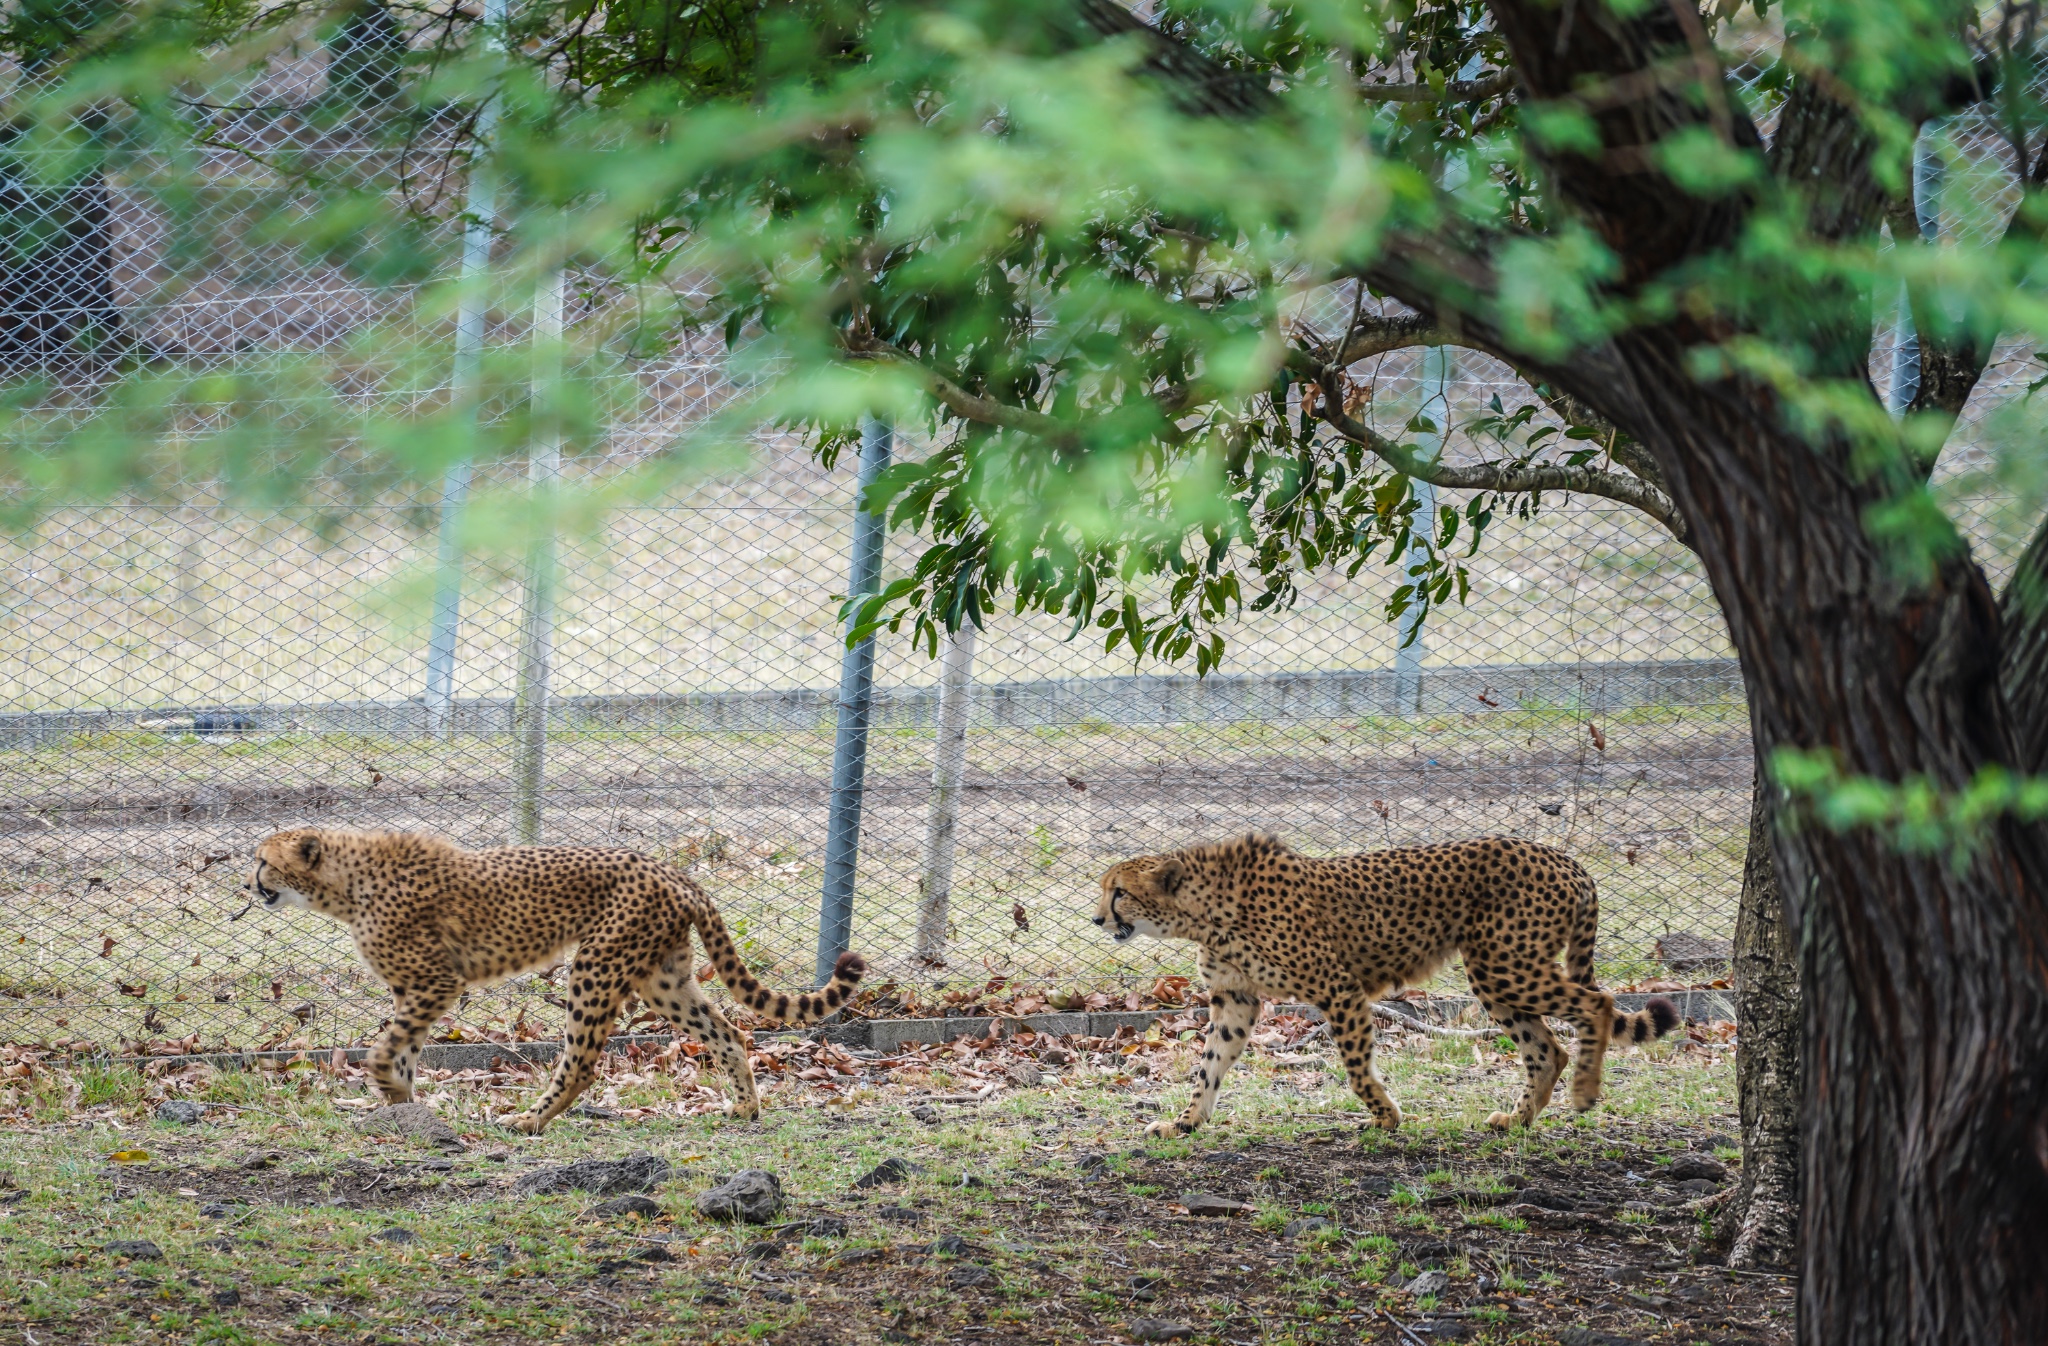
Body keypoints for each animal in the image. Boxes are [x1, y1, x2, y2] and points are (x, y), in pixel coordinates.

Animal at [243, 823, 868, 1130]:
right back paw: (743, 1108)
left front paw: (393, 1094)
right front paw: (406, 1102)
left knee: (583, 1062)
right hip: (661, 978)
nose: (248, 884)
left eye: (264, 861)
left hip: (595, 964)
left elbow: (382, 1049)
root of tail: (671, 870)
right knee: (729, 1032)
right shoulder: (416, 990)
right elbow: (404, 1049)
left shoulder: (436, 983)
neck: (346, 883)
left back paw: (528, 1119)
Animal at [1097, 827, 1671, 1130]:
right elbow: (1209, 1065)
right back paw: (1516, 1120)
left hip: (1504, 966)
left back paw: (1585, 1093)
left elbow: (1354, 1067)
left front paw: (1385, 1116)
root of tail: (1564, 859)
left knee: (1598, 1002)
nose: (1098, 919)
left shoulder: (1339, 988)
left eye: (1119, 892)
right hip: (1498, 976)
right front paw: (1185, 1123)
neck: (1202, 910)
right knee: (1547, 1048)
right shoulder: (1236, 999)